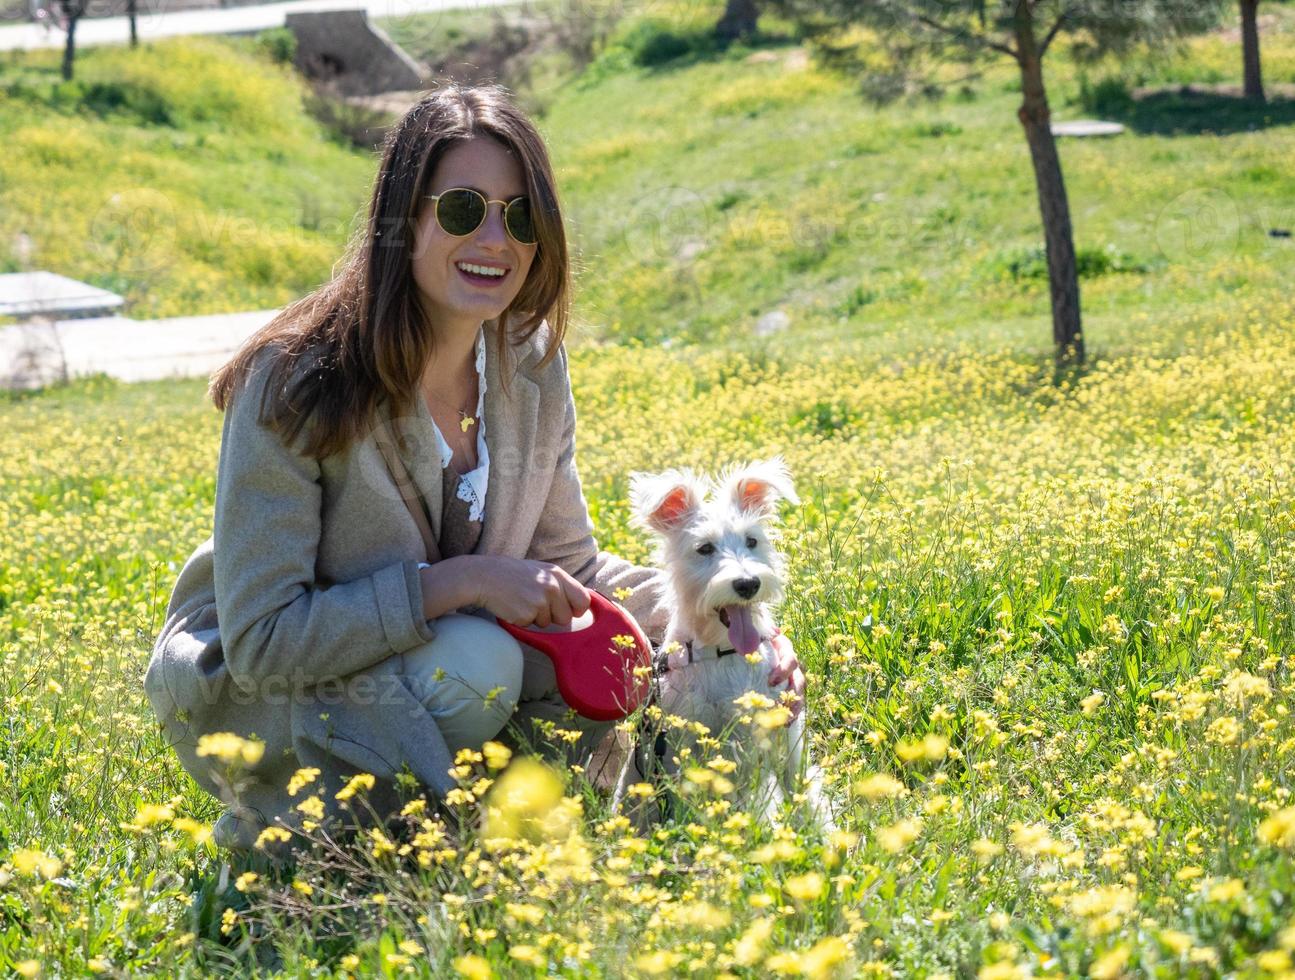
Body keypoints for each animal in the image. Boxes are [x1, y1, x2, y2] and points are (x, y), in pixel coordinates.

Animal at [613, 455, 833, 823]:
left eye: (752, 541)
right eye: (704, 548)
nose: (747, 583)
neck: (723, 651)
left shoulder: (787, 735)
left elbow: (800, 790)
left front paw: (820, 834)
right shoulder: (685, 745)